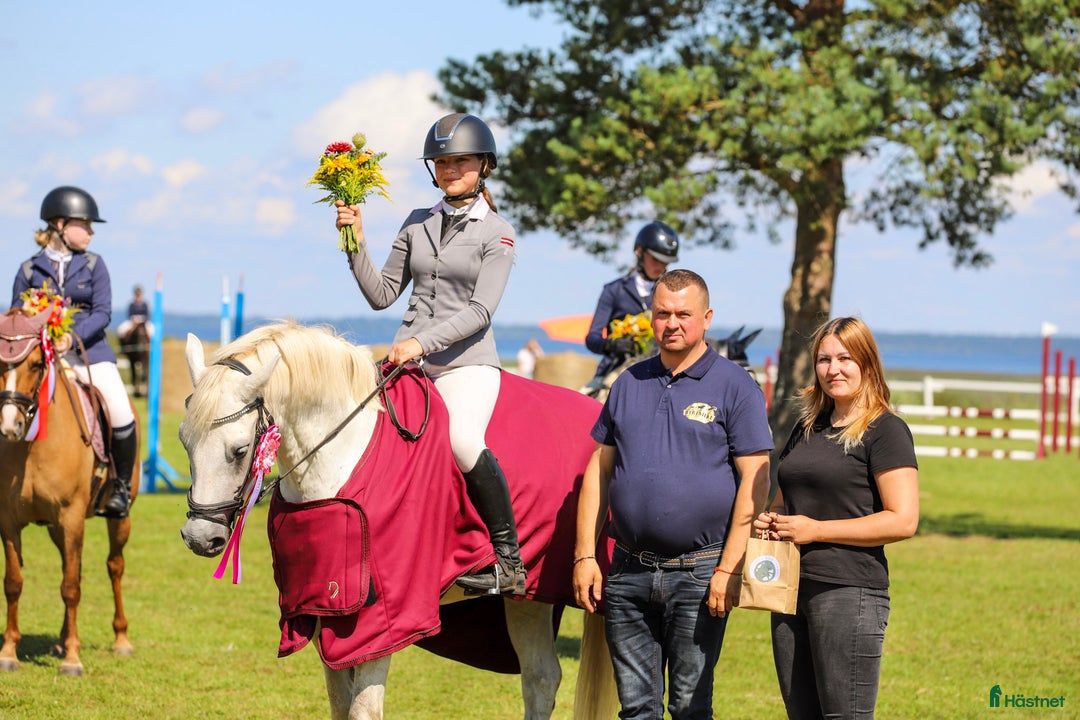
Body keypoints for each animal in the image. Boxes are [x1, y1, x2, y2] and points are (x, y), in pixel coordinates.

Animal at [0, 309, 138, 675]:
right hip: (55, 528)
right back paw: (62, 640)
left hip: (118, 517)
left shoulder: (72, 516)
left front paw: (73, 660)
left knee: (114, 566)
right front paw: (8, 652)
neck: (31, 446)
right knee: (70, 564)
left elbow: (71, 586)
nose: (9, 426)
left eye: (37, 364)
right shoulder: (9, 521)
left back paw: (121, 640)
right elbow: (14, 583)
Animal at [178, 322, 618, 720]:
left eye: (239, 450)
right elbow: (340, 705)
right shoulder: (323, 613)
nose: (199, 537)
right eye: (184, 440)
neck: (343, 457)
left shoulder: (380, 623)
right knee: (541, 678)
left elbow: (363, 709)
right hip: (529, 598)